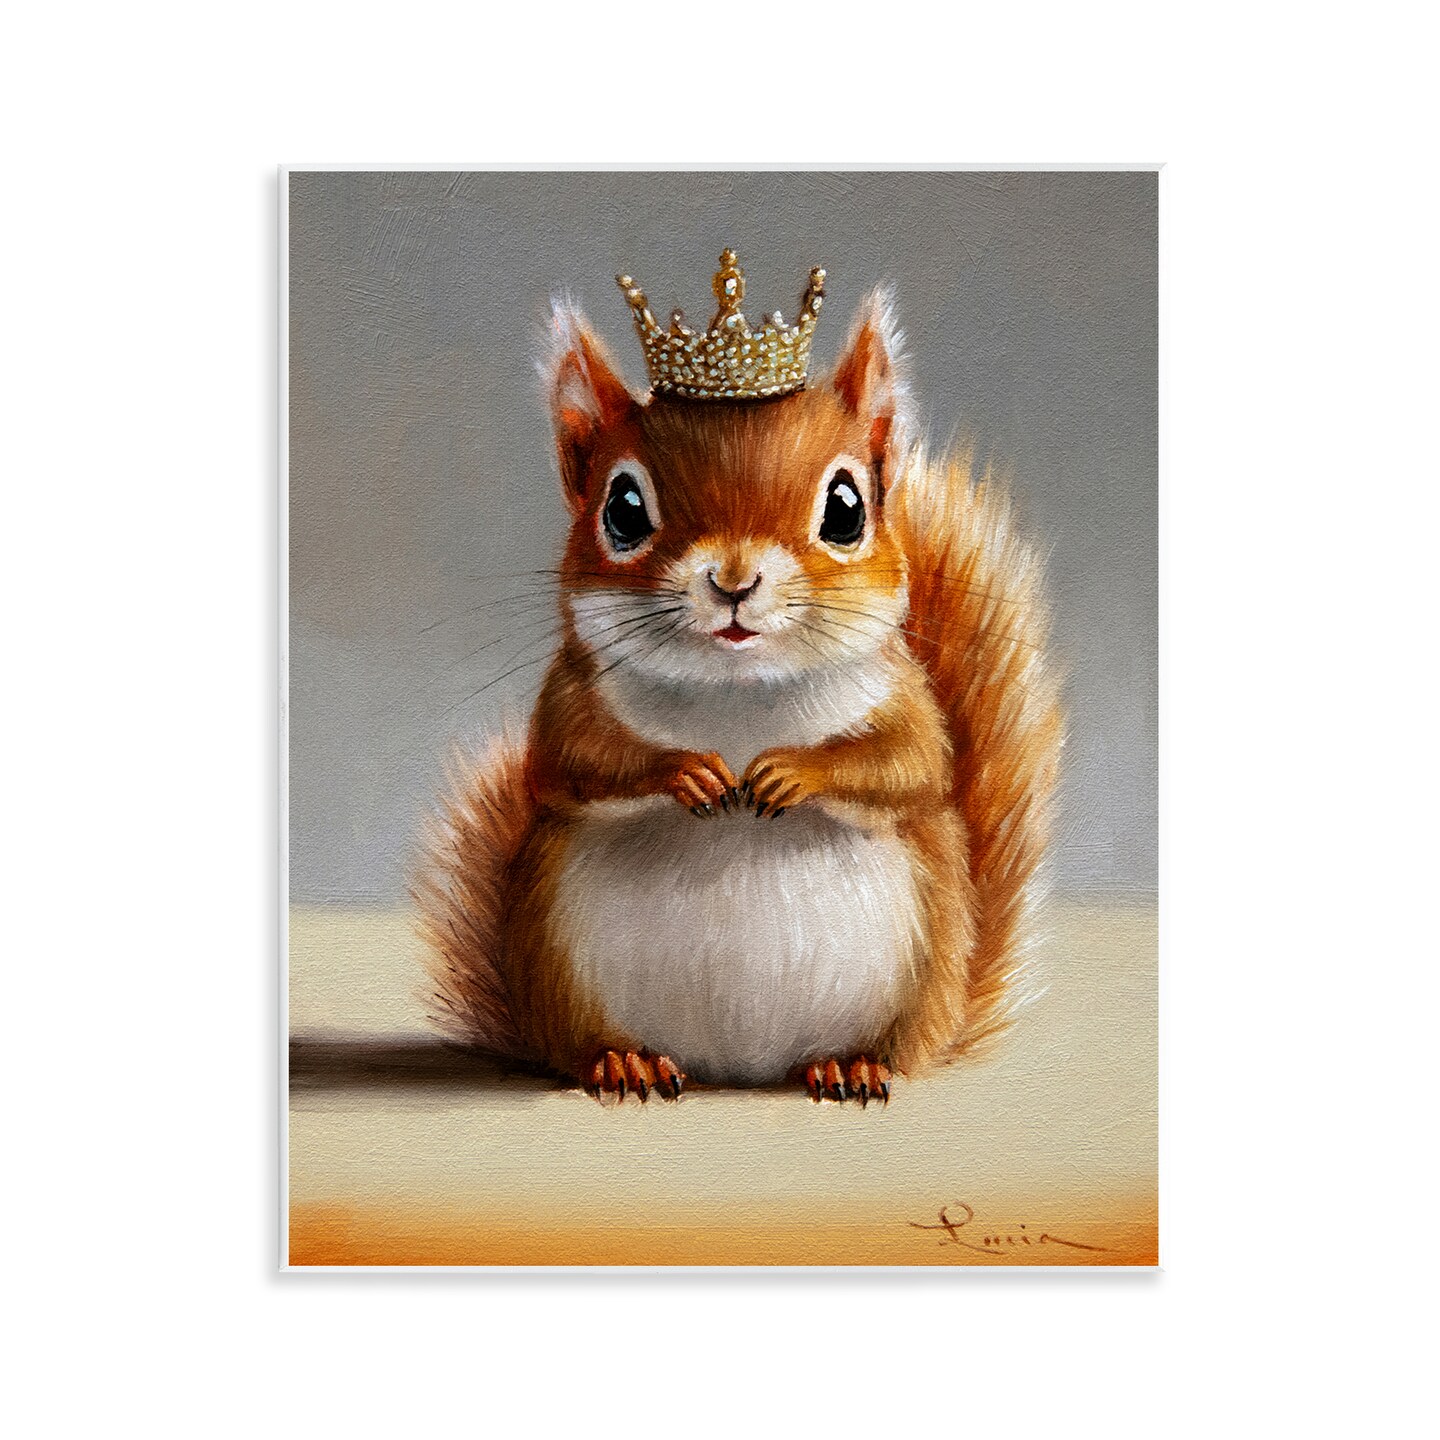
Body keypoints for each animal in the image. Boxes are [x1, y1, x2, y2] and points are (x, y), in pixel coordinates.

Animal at [414, 253, 1063, 1105]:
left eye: (847, 508)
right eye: (623, 509)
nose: (733, 580)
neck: (738, 692)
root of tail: (739, 1068)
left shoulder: (906, 698)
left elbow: (909, 764)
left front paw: (793, 772)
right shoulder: (569, 696)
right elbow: (569, 761)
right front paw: (684, 770)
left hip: (921, 974)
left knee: (892, 1048)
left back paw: (853, 1064)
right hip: (558, 967)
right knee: (586, 1046)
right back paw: (623, 1061)